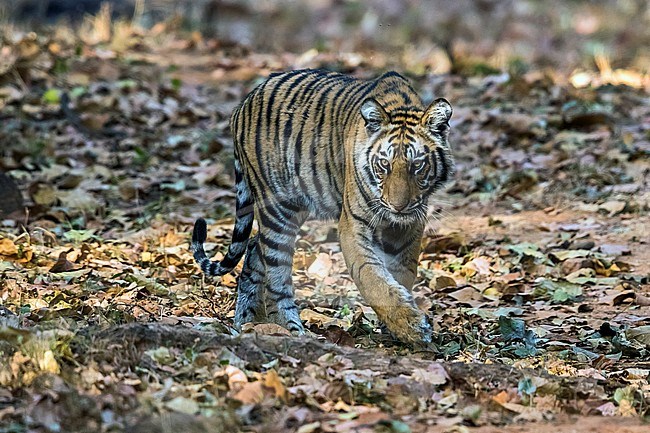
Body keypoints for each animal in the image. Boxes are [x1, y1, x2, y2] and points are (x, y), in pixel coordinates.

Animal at [190, 67, 454, 344]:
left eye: (417, 165)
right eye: (384, 164)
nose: (398, 207)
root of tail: (243, 103)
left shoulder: (408, 229)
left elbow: (400, 276)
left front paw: (396, 327)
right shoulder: (353, 226)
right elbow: (373, 279)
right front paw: (412, 326)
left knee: (253, 247)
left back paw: (249, 321)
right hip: (277, 210)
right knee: (276, 276)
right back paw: (290, 329)